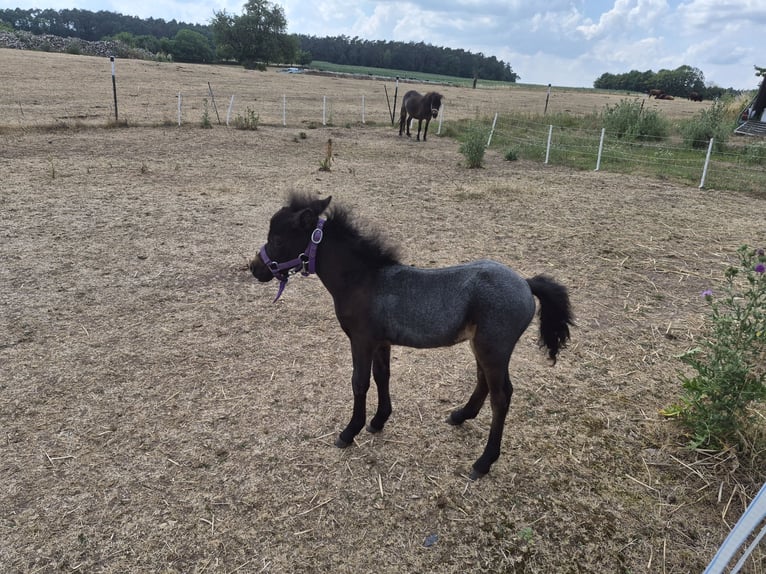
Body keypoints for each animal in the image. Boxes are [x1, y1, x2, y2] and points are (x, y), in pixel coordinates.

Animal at [249, 194, 574, 479]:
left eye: (277, 240)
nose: (255, 268)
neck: (363, 281)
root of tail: (526, 283)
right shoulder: (381, 342)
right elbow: (382, 376)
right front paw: (378, 421)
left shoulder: (361, 340)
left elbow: (359, 382)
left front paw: (350, 431)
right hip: (482, 345)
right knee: (485, 383)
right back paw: (460, 416)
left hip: (493, 347)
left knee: (501, 396)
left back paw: (483, 462)